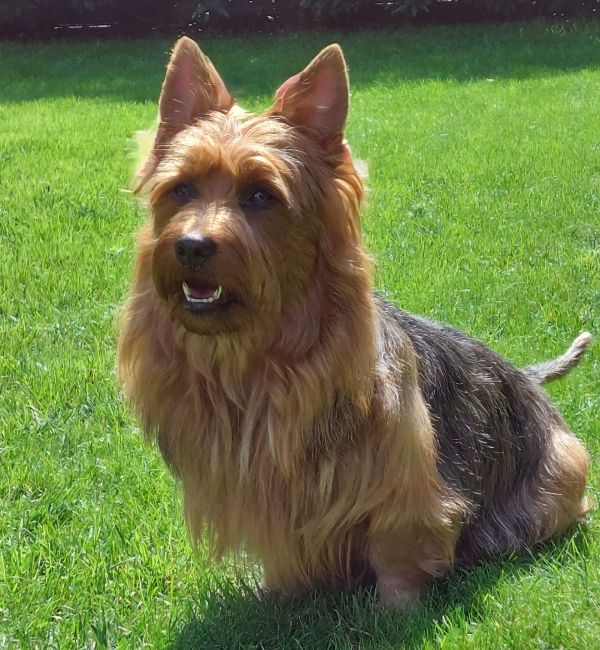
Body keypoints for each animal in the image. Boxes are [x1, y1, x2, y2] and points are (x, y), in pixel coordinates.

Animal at [117, 38, 592, 604]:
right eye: (182, 190)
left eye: (261, 195)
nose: (190, 246)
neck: (258, 354)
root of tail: (527, 377)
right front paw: (280, 597)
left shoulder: (402, 482)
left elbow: (397, 549)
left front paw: (396, 609)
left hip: (562, 471)